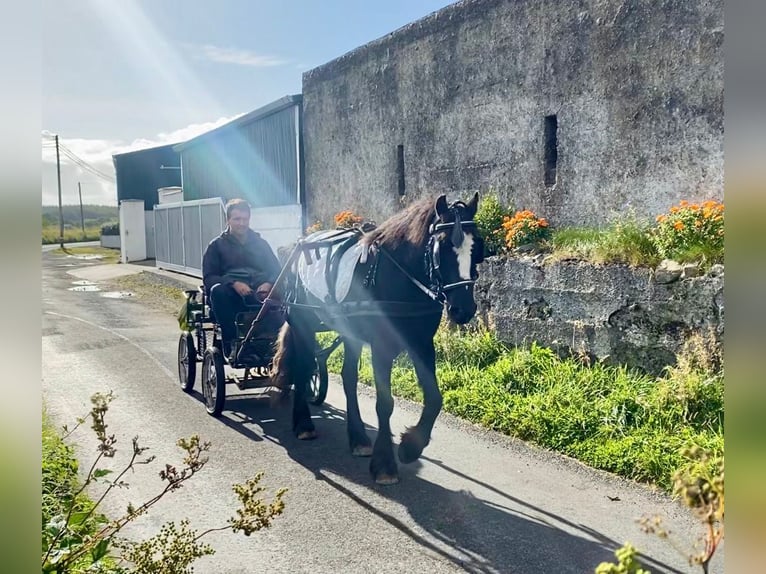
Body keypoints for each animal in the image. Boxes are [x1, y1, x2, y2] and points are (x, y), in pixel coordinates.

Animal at [272, 195, 484, 486]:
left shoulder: (421, 344)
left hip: (349, 334)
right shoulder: (381, 348)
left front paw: (410, 446)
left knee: (348, 378)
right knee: (303, 367)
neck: (399, 278)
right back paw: (304, 424)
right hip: (302, 323)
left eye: (477, 248)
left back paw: (358, 438)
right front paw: (385, 464)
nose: (463, 309)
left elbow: (434, 399)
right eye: (442, 247)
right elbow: (385, 403)